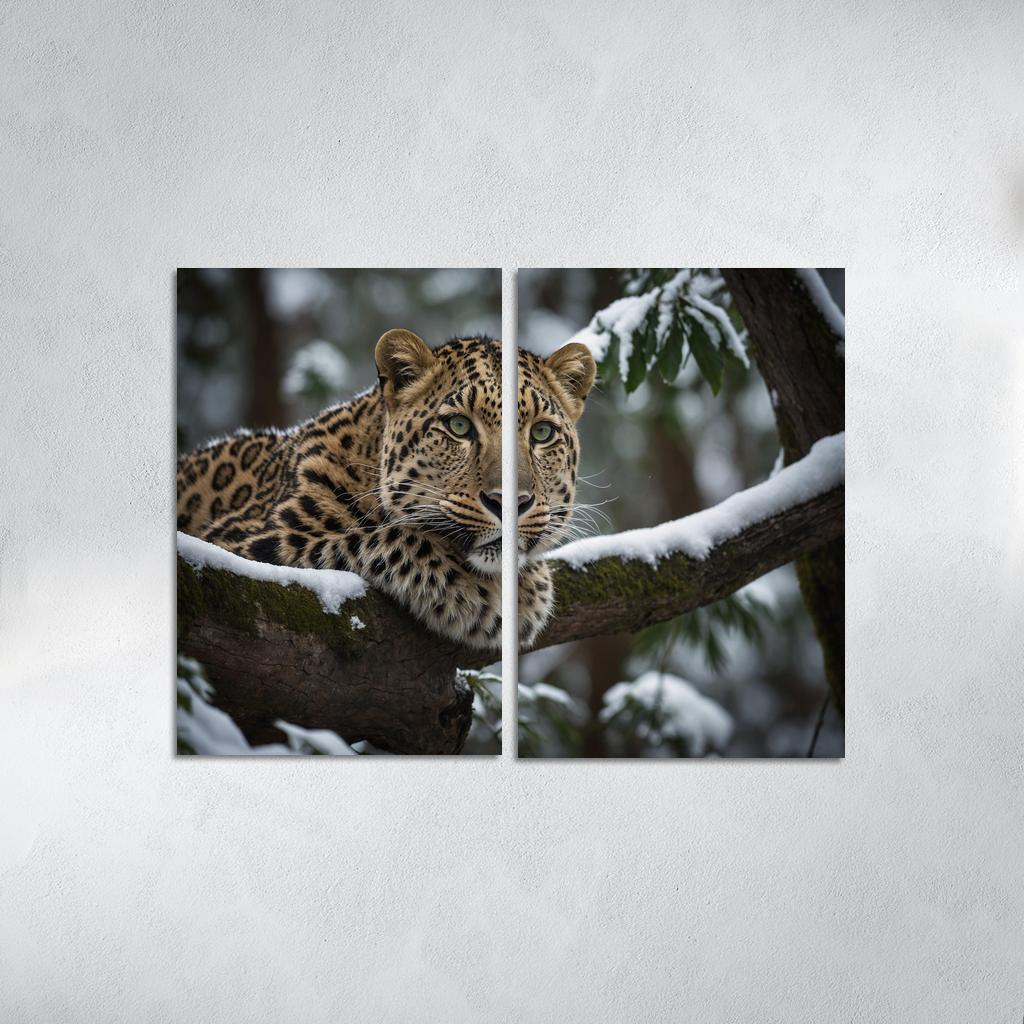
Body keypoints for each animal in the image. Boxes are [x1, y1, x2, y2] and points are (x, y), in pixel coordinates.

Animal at [176, 329, 595, 650]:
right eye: (459, 426)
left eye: (542, 433)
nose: (511, 502)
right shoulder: (243, 546)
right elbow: (384, 536)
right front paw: (486, 596)